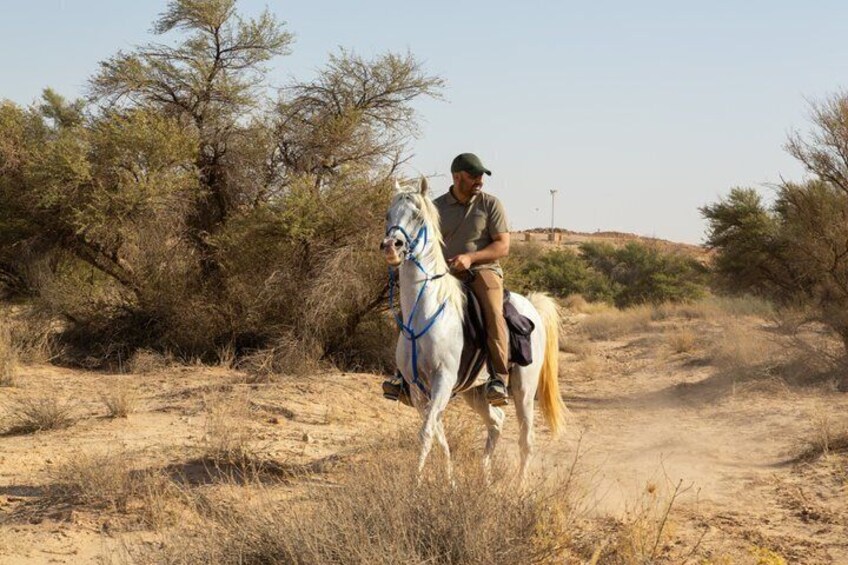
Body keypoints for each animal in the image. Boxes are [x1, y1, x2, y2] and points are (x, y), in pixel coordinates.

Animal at [380, 178, 566, 482]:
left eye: (418, 215)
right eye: (388, 214)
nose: (391, 247)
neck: (426, 311)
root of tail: (532, 305)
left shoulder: (443, 381)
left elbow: (427, 432)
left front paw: (416, 482)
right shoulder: (419, 389)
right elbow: (438, 434)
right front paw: (450, 480)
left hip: (524, 389)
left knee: (526, 439)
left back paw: (520, 486)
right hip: (475, 392)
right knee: (497, 422)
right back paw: (485, 476)